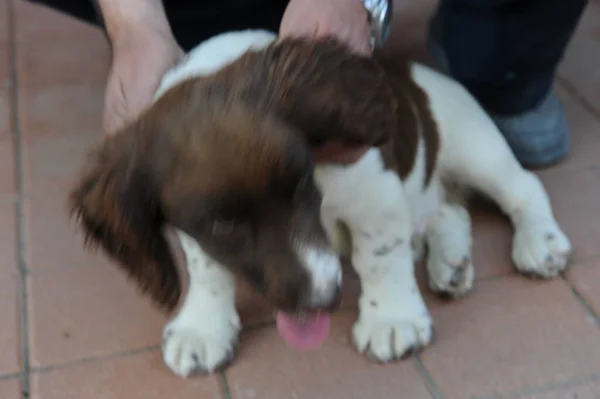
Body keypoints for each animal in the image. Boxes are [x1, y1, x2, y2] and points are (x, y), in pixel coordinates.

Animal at [68, 30, 568, 378]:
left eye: (301, 185)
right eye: (221, 225)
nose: (322, 300)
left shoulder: (373, 193)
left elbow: (380, 257)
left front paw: (392, 318)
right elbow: (207, 269)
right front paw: (202, 326)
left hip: (473, 144)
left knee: (522, 188)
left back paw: (538, 242)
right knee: (449, 210)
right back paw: (451, 262)